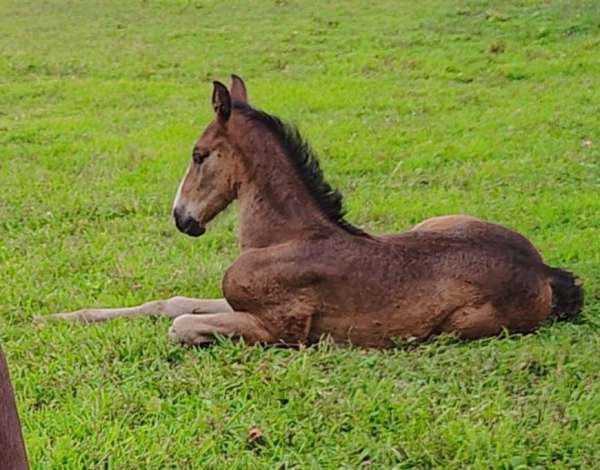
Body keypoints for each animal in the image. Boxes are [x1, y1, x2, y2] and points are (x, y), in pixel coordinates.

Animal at [44, 76, 584, 348]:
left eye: (198, 155)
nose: (182, 218)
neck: (286, 237)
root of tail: (542, 270)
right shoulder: (236, 301)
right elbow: (170, 304)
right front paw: (56, 316)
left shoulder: (280, 327)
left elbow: (180, 326)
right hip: (438, 221)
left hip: (458, 327)